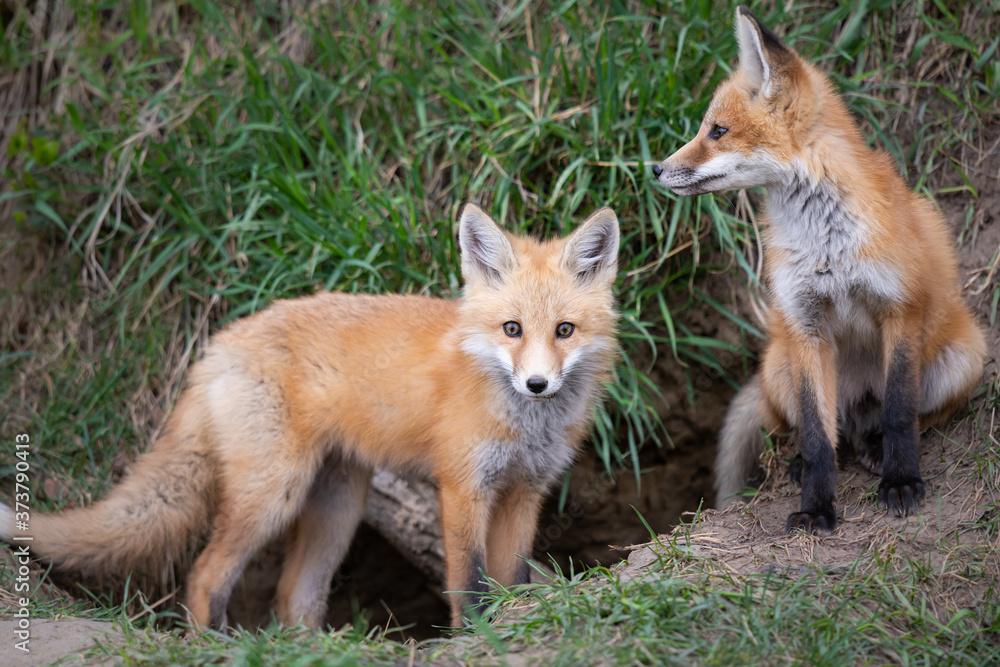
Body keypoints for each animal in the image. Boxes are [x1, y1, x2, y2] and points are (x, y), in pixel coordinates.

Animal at [0, 203, 621, 628]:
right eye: (511, 329)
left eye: (564, 330)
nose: (537, 384)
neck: (524, 425)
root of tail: (222, 340)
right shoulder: (463, 487)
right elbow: (467, 583)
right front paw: (474, 636)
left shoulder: (524, 492)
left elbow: (512, 577)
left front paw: (514, 620)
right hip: (275, 494)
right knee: (204, 575)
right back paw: (211, 643)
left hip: (337, 507)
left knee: (292, 597)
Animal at [653, 6, 986, 533]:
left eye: (717, 131)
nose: (656, 169)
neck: (826, 244)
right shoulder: (805, 324)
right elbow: (814, 436)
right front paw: (815, 507)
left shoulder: (900, 309)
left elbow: (900, 412)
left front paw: (900, 481)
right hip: (780, 368)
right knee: (830, 434)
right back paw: (806, 462)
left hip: (963, 358)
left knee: (910, 418)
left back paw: (877, 449)